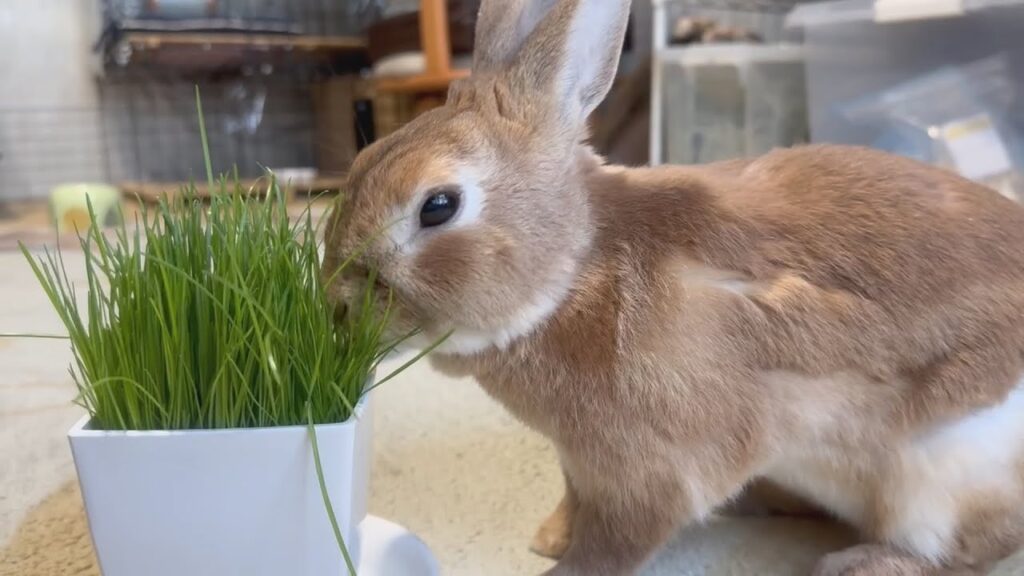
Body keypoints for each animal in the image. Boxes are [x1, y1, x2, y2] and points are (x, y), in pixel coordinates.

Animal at [321, 0, 1024, 574]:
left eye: (438, 206)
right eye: (361, 162)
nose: (337, 304)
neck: (574, 273)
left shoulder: (654, 469)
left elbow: (621, 538)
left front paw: (561, 568)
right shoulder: (581, 462)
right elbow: (576, 501)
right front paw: (549, 536)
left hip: (938, 480)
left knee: (968, 550)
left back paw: (859, 563)